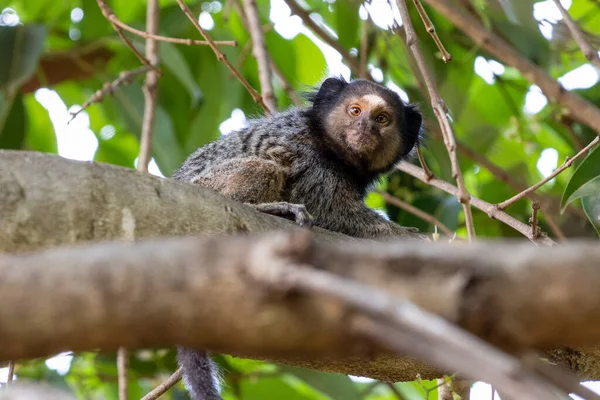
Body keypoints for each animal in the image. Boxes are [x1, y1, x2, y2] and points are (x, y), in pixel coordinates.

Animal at [170, 76, 422, 398]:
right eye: (355, 111)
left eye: (382, 119)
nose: (364, 126)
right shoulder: (309, 159)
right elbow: (329, 210)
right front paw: (405, 236)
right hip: (207, 185)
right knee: (264, 167)